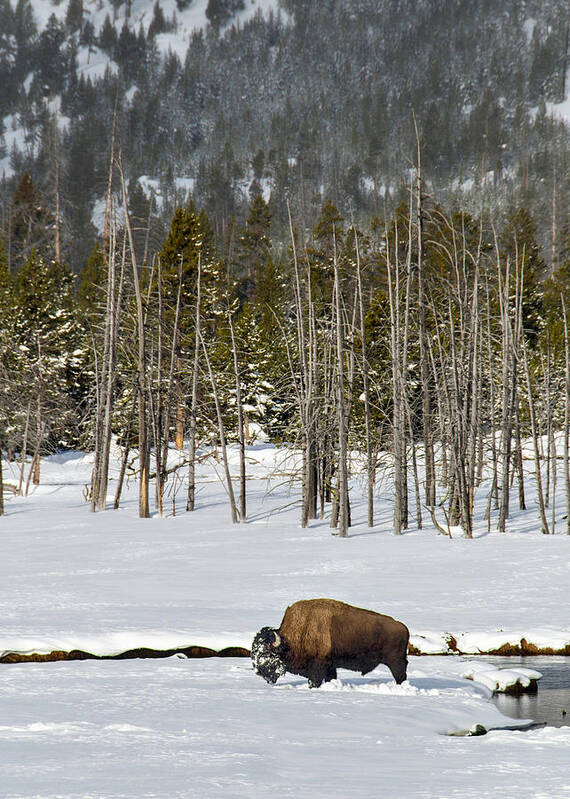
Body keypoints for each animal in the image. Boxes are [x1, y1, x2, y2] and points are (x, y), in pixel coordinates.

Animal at [251, 600, 406, 688]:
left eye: (265, 652)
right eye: (254, 653)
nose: (258, 671)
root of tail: (403, 627)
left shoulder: (318, 666)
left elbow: (314, 682)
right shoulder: (331, 667)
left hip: (395, 662)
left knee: (400, 676)